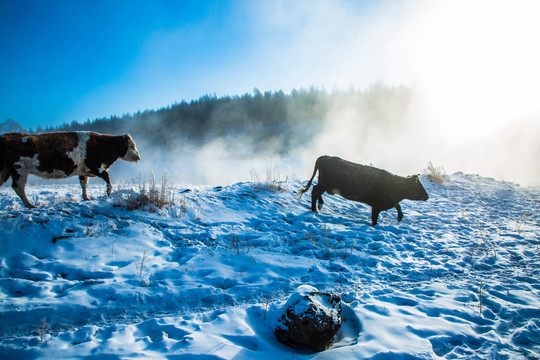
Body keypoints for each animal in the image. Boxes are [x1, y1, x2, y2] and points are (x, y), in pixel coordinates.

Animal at [0, 131, 141, 208]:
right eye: (131, 145)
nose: (139, 157)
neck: (101, 144)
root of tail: (5, 137)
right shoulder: (95, 167)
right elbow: (107, 177)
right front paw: (108, 192)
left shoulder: (84, 171)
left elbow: (84, 184)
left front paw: (86, 198)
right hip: (19, 170)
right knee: (18, 187)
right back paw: (30, 205)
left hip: (7, 171)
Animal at [298, 155, 428, 225]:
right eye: (419, 186)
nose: (427, 196)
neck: (395, 184)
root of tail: (325, 157)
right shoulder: (376, 205)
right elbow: (375, 218)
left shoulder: (389, 201)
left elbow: (398, 206)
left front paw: (400, 217)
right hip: (325, 184)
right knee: (314, 191)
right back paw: (315, 208)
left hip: (325, 185)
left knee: (315, 191)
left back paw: (318, 207)